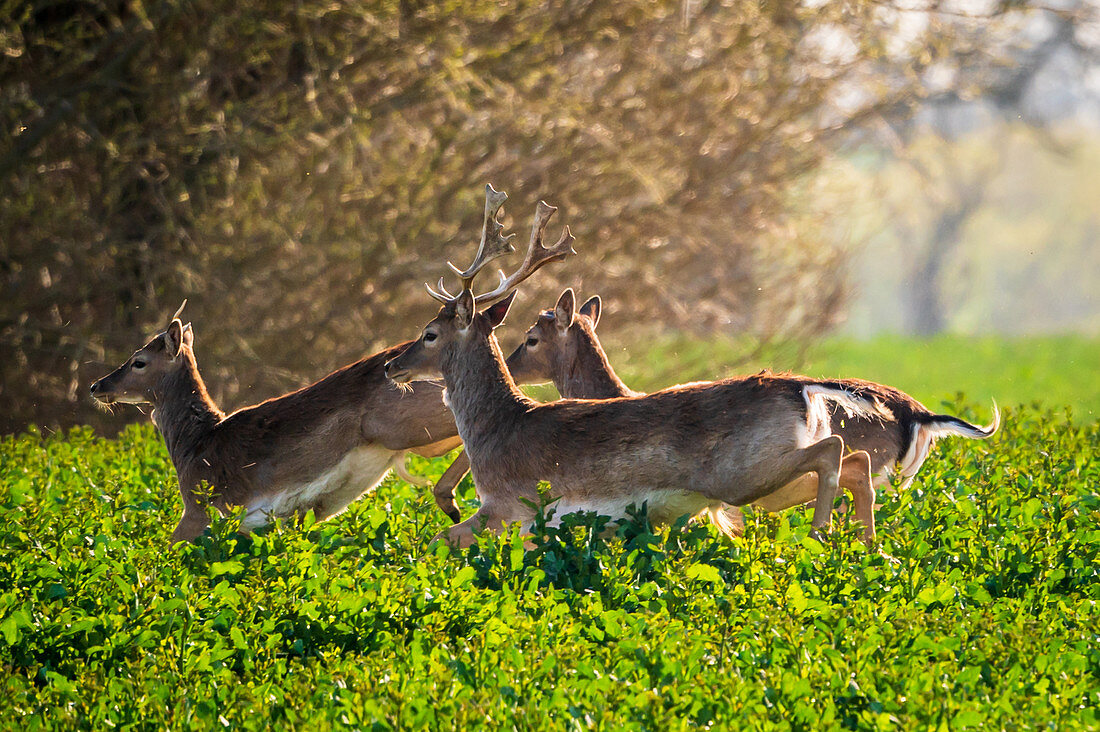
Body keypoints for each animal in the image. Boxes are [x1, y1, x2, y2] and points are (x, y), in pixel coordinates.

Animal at [89, 299, 459, 539]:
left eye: (138, 361)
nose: (97, 386)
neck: (194, 443)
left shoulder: (200, 506)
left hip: (403, 423)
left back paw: (448, 501)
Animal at [387, 186, 884, 545]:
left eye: (429, 333)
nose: (392, 365)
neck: (495, 429)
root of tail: (801, 388)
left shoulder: (513, 508)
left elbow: (438, 540)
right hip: (771, 483)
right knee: (853, 463)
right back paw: (865, 547)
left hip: (745, 471)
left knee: (837, 452)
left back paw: (822, 538)